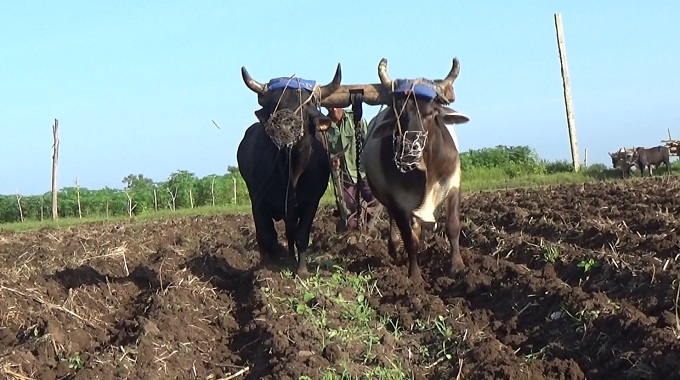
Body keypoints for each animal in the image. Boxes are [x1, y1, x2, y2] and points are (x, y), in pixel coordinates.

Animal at [239, 62, 346, 276]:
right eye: (275, 104)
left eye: (304, 105)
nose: (285, 127)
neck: (291, 170)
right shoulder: (258, 200)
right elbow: (266, 234)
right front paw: (269, 267)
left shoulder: (311, 201)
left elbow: (301, 235)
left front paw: (301, 270)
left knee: (290, 232)